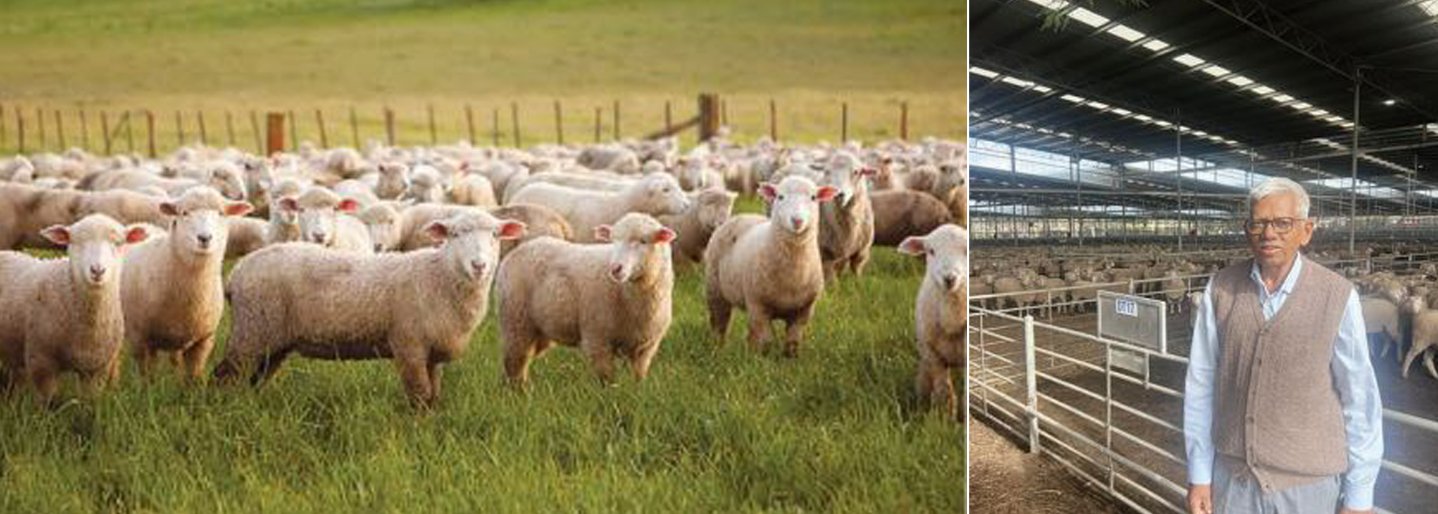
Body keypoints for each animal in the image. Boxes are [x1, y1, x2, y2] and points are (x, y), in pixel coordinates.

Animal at [0, 211, 150, 400]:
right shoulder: (41, 362)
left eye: (118, 243)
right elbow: (49, 402)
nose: (97, 270)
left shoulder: (96, 369)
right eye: (76, 242)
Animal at [209, 210, 526, 406]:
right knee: (225, 376)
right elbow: (419, 394)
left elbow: (433, 395)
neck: (439, 276)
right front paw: (418, 431)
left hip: (271, 338)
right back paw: (228, 410)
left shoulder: (432, 352)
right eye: (455, 235)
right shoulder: (408, 344)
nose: (479, 265)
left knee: (255, 378)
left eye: (496, 235)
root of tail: (237, 272)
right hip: (251, 329)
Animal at [497, 210, 675, 382]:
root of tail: (523, 248)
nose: (615, 269)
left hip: (539, 329)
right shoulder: (597, 339)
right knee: (515, 366)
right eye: (613, 240)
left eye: (643, 241)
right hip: (516, 322)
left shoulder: (645, 350)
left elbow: (638, 380)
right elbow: (606, 380)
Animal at [701, 176, 839, 357]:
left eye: (813, 197)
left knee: (750, 332)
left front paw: (790, 359)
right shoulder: (759, 306)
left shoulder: (804, 311)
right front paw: (763, 360)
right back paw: (718, 349)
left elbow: (792, 343)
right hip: (715, 290)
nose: (797, 221)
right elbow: (766, 342)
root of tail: (743, 215)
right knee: (719, 323)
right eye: (780, 197)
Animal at [897, 221, 966, 417]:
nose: (949, 279)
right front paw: (945, 419)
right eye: (931, 251)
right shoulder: (933, 355)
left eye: (967, 250)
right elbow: (944, 391)